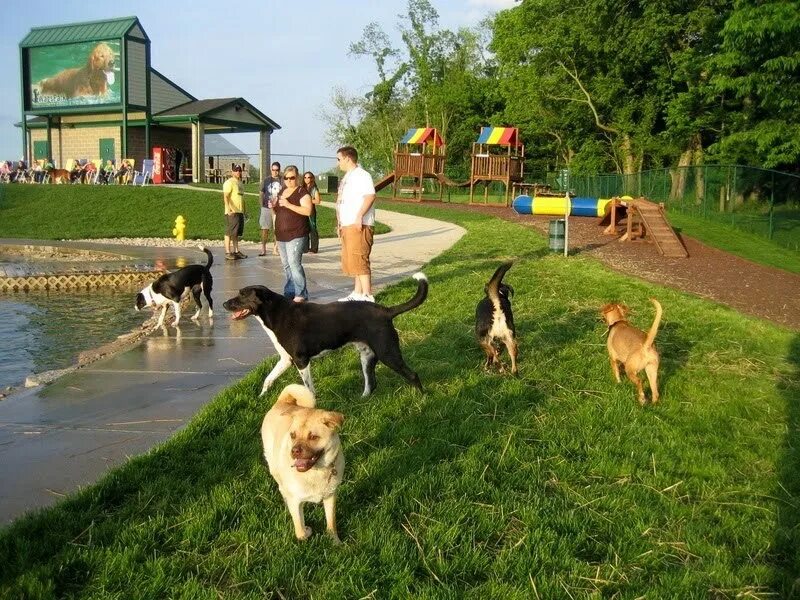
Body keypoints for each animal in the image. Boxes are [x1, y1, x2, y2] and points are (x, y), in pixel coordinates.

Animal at [222, 274, 428, 396]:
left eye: (242, 295)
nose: (223, 304)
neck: (277, 314)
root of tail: (386, 311)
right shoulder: (286, 359)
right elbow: (268, 379)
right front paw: (261, 397)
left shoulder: (301, 360)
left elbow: (308, 388)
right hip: (367, 356)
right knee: (372, 383)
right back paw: (362, 400)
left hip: (387, 353)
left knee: (412, 374)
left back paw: (422, 398)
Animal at [262, 384, 344, 544]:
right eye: (292, 435)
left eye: (313, 437)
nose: (294, 451)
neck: (316, 472)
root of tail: (282, 401)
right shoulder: (296, 502)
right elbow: (300, 530)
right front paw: (307, 532)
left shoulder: (330, 496)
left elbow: (331, 523)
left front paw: (335, 542)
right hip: (274, 467)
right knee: (281, 487)